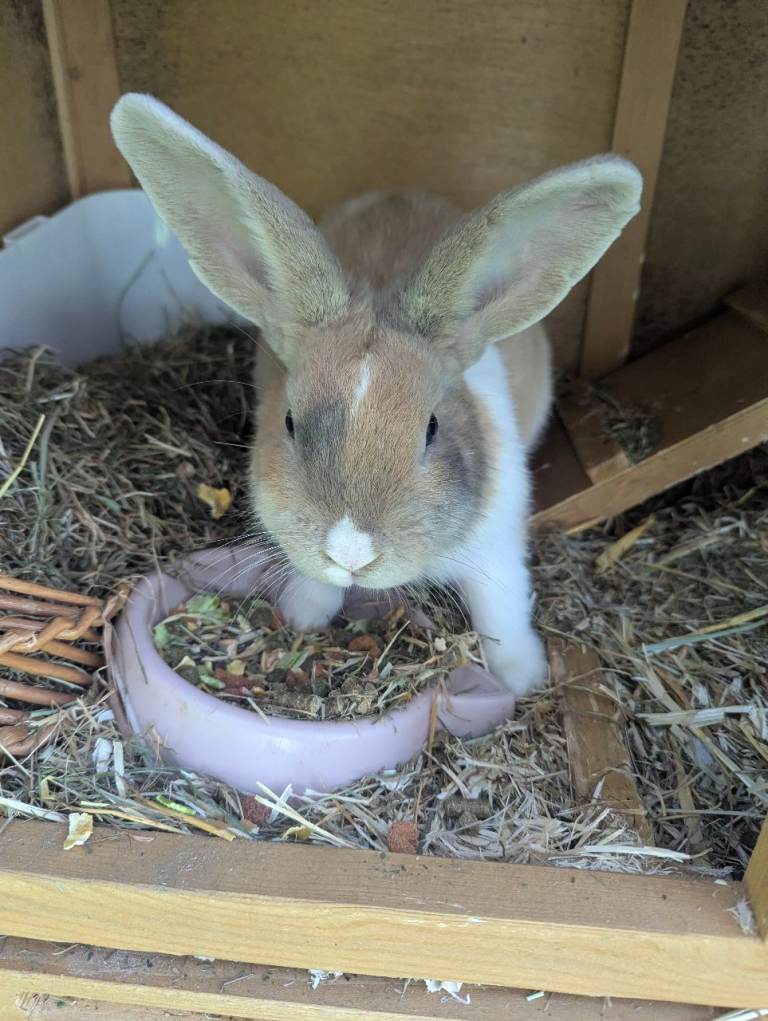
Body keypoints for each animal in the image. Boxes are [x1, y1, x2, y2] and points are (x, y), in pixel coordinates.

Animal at [110, 93, 642, 695]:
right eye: (289, 422)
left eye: (431, 429)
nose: (351, 552)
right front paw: (304, 615)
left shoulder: (499, 545)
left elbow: (501, 606)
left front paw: (521, 678)